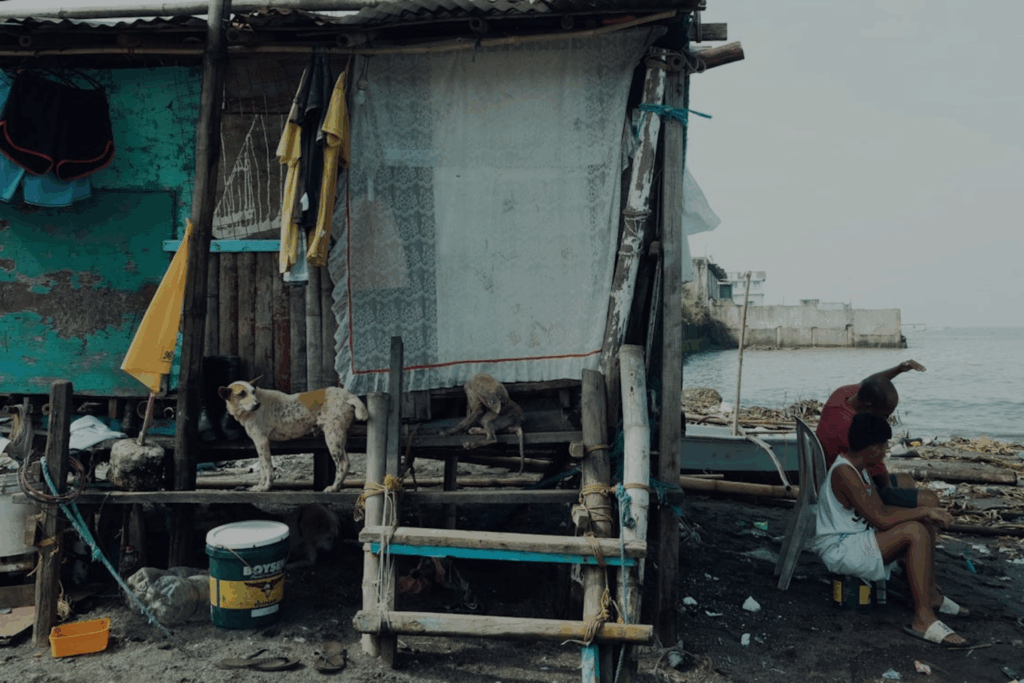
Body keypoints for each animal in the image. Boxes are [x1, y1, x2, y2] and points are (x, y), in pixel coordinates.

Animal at [218, 377, 369, 492]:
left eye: (253, 392)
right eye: (241, 394)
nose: (257, 404)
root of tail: (349, 395)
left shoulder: (261, 442)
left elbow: (267, 468)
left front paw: (266, 487)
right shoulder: (259, 444)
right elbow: (262, 469)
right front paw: (260, 486)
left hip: (332, 438)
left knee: (343, 464)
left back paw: (334, 488)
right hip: (342, 439)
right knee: (346, 463)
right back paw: (338, 487)